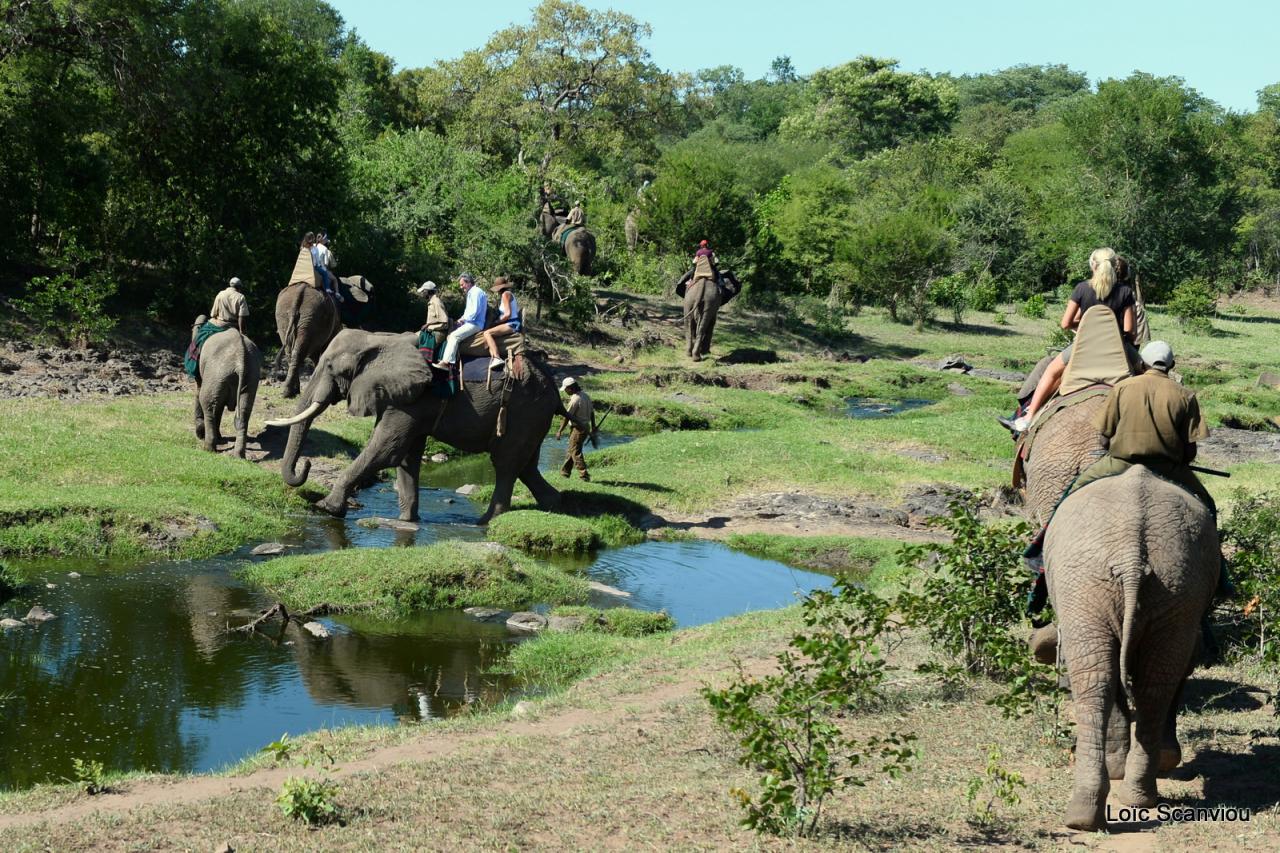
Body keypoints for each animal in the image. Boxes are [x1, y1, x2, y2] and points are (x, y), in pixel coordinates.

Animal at [192, 326, 259, 458]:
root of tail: (240, 359)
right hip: (250, 376)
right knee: (244, 411)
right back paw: (238, 456)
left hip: (217, 373)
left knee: (208, 404)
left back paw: (208, 449)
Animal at [264, 327, 560, 522]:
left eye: (330, 367)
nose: (306, 465)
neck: (380, 339)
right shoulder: (405, 397)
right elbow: (406, 455)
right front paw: (407, 521)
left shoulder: (412, 399)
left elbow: (386, 449)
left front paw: (326, 508)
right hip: (533, 414)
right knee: (526, 466)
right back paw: (560, 505)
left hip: (526, 408)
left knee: (506, 463)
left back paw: (487, 521)